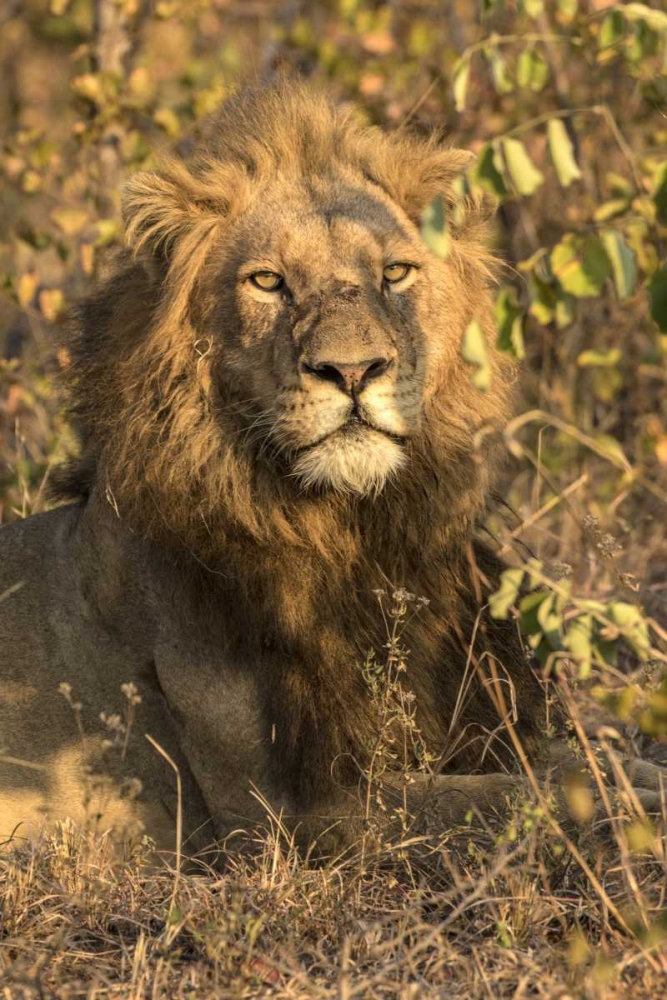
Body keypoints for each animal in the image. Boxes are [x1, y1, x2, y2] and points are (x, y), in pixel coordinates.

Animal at [0, 80, 662, 857]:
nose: (351, 370)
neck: (351, 533)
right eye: (267, 282)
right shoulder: (288, 814)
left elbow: (579, 763)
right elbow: (504, 799)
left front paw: (638, 780)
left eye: (395, 273)